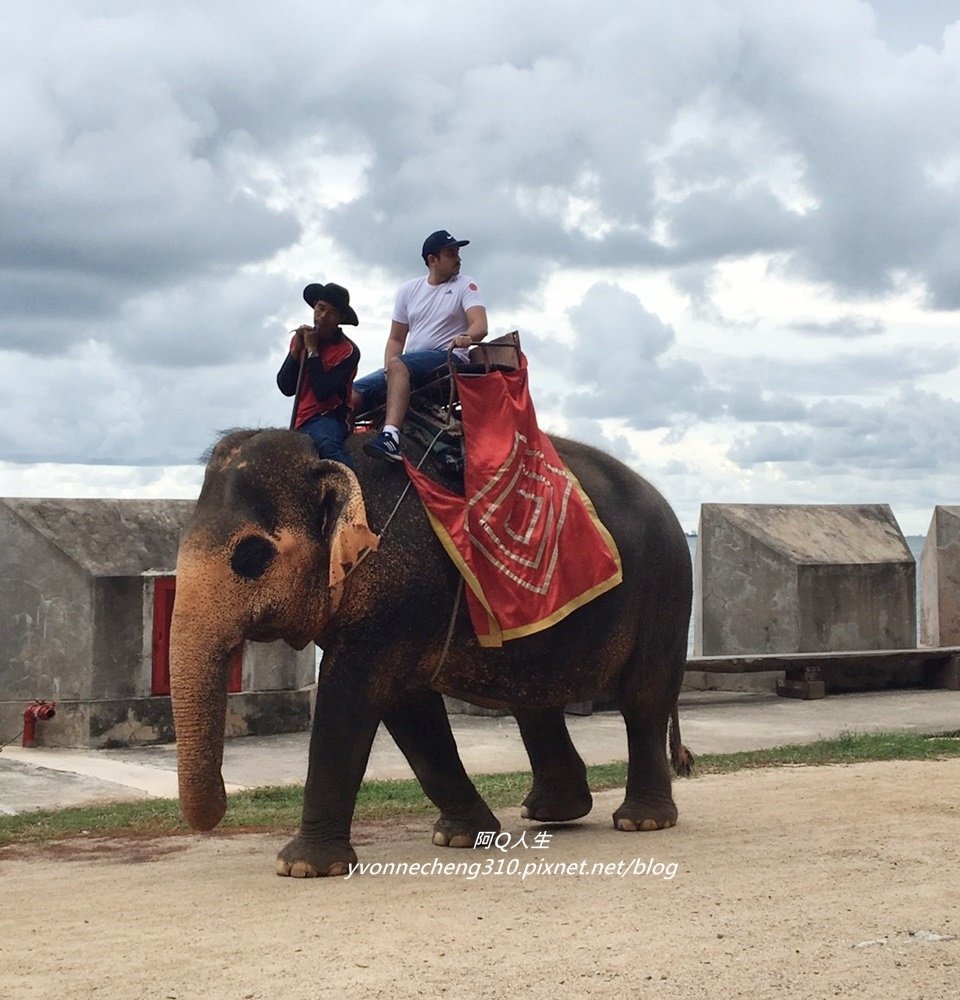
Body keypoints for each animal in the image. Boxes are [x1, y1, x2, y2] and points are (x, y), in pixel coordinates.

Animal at [169, 426, 692, 880]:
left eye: (251, 557)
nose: (221, 803)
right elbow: (409, 711)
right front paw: (461, 837)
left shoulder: (397, 599)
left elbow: (353, 697)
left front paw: (302, 867)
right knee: (533, 705)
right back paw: (552, 813)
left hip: (665, 590)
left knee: (643, 700)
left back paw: (641, 821)